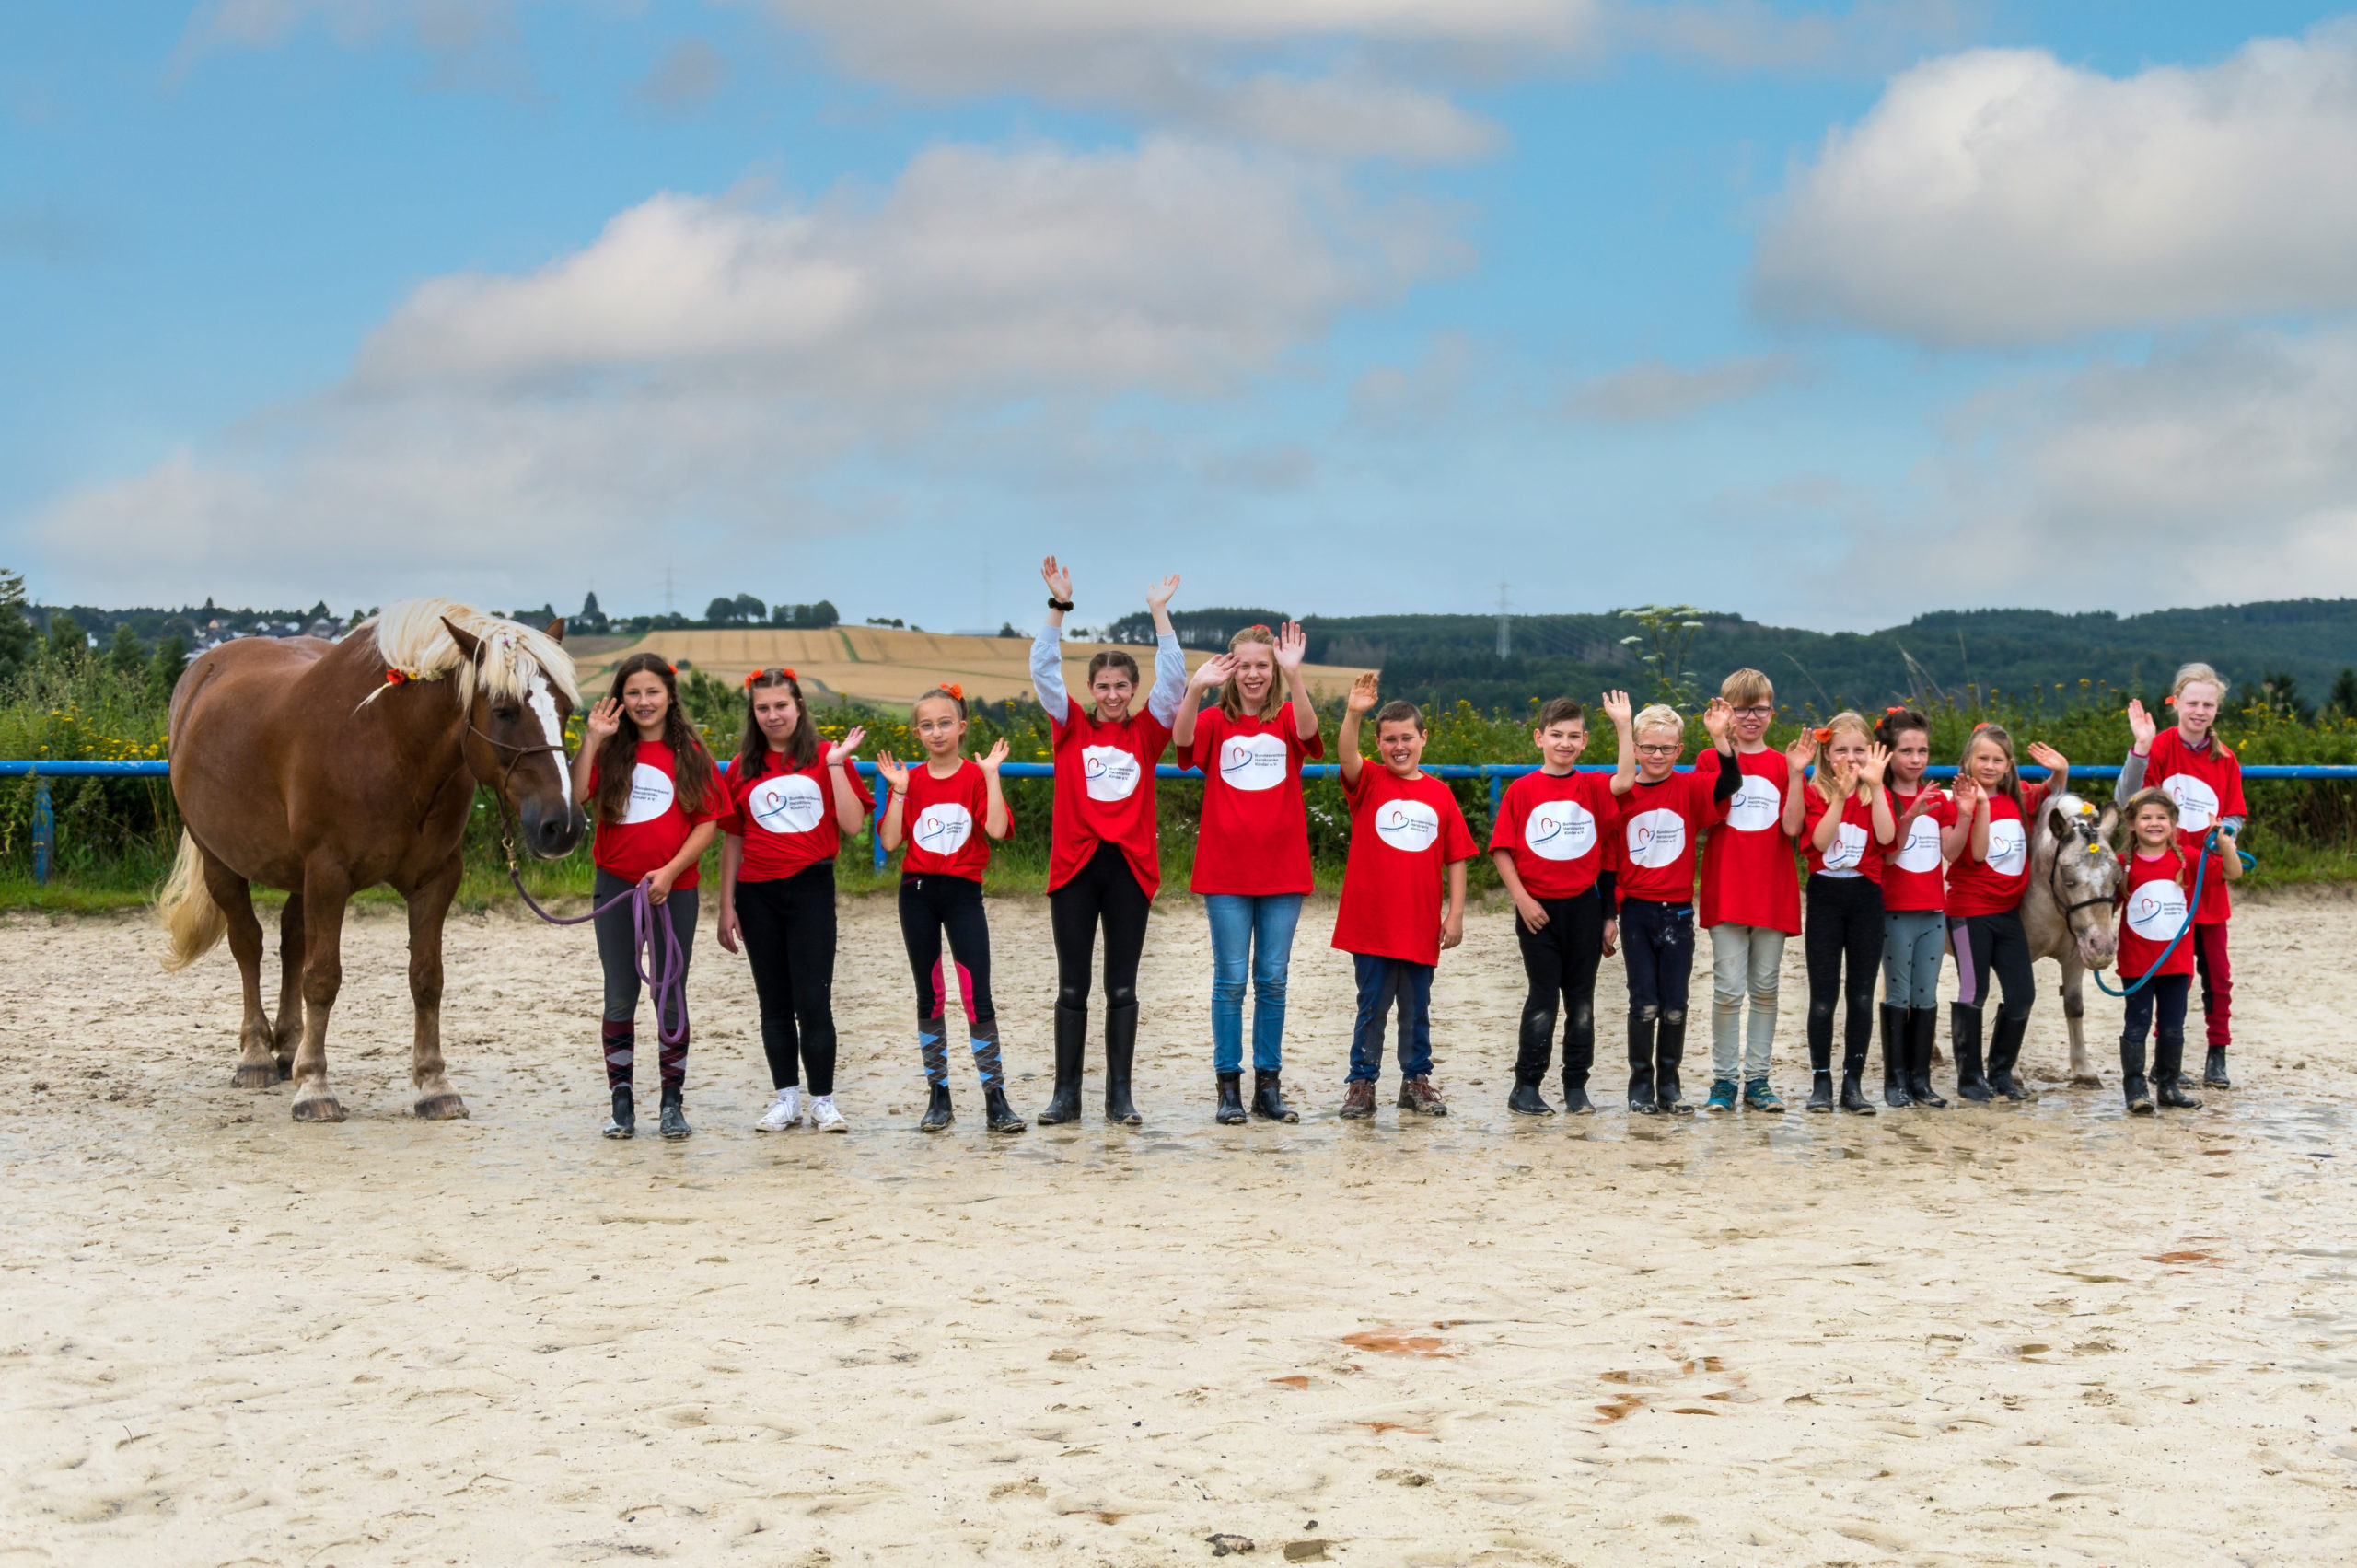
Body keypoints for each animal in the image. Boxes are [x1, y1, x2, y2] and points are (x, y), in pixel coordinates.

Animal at [160, 594, 579, 1117]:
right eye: (503, 711)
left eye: (565, 709)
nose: (562, 825)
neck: (388, 741)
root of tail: (200, 674)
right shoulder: (328, 874)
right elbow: (322, 978)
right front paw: (315, 1087)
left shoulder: (436, 879)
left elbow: (426, 978)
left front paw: (434, 1084)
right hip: (223, 863)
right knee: (248, 944)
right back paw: (256, 1054)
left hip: (295, 875)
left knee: (291, 941)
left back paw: (288, 1046)